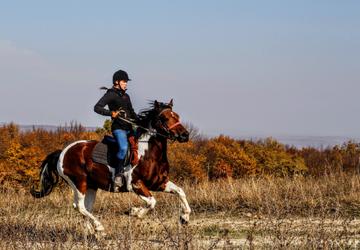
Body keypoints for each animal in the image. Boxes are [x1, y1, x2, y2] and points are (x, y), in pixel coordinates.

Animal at [31, 98, 191, 231]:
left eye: (177, 116)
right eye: (165, 118)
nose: (185, 135)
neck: (148, 153)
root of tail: (63, 152)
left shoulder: (159, 183)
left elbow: (180, 191)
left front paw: (185, 217)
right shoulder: (135, 184)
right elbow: (152, 202)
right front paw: (134, 212)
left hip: (91, 186)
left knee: (86, 208)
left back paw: (91, 232)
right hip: (79, 182)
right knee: (79, 206)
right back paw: (99, 228)